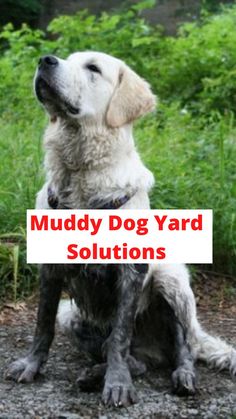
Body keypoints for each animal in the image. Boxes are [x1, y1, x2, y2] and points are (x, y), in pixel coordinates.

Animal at [5, 50, 236, 408]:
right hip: (71, 314)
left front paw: (116, 384)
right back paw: (93, 374)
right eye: (66, 57)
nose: (46, 60)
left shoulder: (131, 270)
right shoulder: (50, 268)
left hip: (172, 283)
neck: (79, 175)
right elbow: (42, 323)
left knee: (184, 346)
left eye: (93, 68)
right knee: (134, 360)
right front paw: (32, 365)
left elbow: (120, 335)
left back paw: (183, 376)